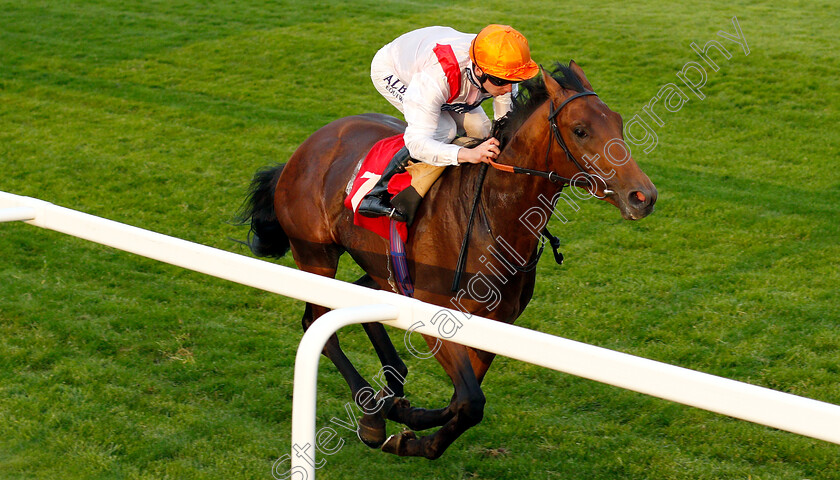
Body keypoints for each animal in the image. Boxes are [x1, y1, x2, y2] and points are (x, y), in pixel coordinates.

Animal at [240, 62, 660, 460]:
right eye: (580, 130)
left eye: (617, 121)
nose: (643, 196)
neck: (494, 216)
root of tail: (308, 145)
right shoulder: (435, 312)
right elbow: (470, 401)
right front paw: (403, 426)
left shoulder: (496, 323)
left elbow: (463, 402)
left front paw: (408, 426)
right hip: (316, 255)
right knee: (317, 325)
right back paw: (373, 414)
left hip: (383, 269)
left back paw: (390, 391)